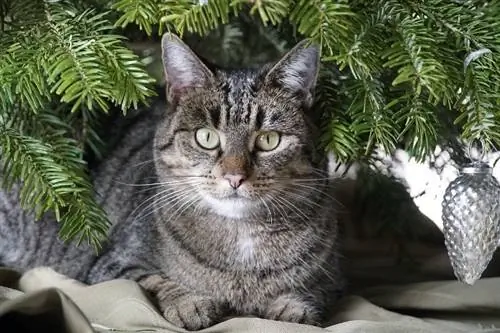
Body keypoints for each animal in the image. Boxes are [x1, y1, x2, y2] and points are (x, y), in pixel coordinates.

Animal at [0, 33, 342, 330]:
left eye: (269, 140)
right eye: (206, 137)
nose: (234, 176)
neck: (241, 240)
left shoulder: (333, 277)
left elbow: (313, 294)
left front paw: (292, 306)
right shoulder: (113, 265)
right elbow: (154, 281)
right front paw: (189, 303)